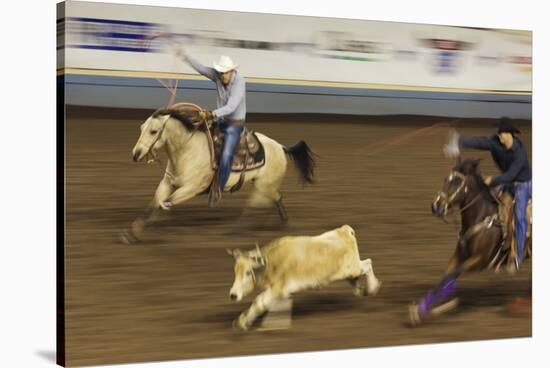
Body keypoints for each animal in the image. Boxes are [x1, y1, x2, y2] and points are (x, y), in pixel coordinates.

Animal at [121, 103, 320, 244]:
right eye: (141, 128)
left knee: (255, 206)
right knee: (277, 198)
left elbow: (164, 204)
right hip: (267, 186)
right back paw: (283, 222)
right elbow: (155, 204)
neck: (187, 150)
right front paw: (132, 233)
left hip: (263, 186)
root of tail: (281, 147)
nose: (135, 154)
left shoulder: (191, 188)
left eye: (153, 131)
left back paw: (234, 230)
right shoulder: (167, 183)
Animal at [410, 158, 532, 324]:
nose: (435, 206)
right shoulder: (459, 255)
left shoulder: (480, 260)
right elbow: (447, 276)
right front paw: (428, 307)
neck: (483, 216)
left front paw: (424, 310)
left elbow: (454, 273)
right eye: (445, 179)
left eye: (456, 182)